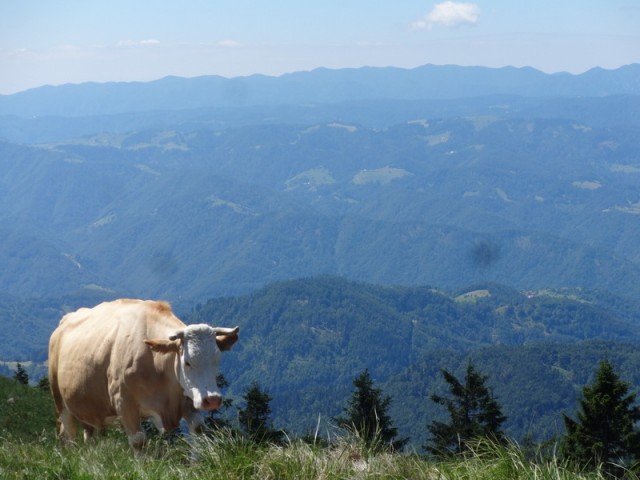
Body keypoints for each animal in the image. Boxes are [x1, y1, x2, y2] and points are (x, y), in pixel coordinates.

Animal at [47, 298, 238, 452]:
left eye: (216, 359)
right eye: (187, 362)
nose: (212, 399)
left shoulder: (187, 397)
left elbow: (198, 429)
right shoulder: (124, 402)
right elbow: (138, 442)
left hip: (90, 408)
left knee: (89, 437)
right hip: (61, 402)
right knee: (69, 436)